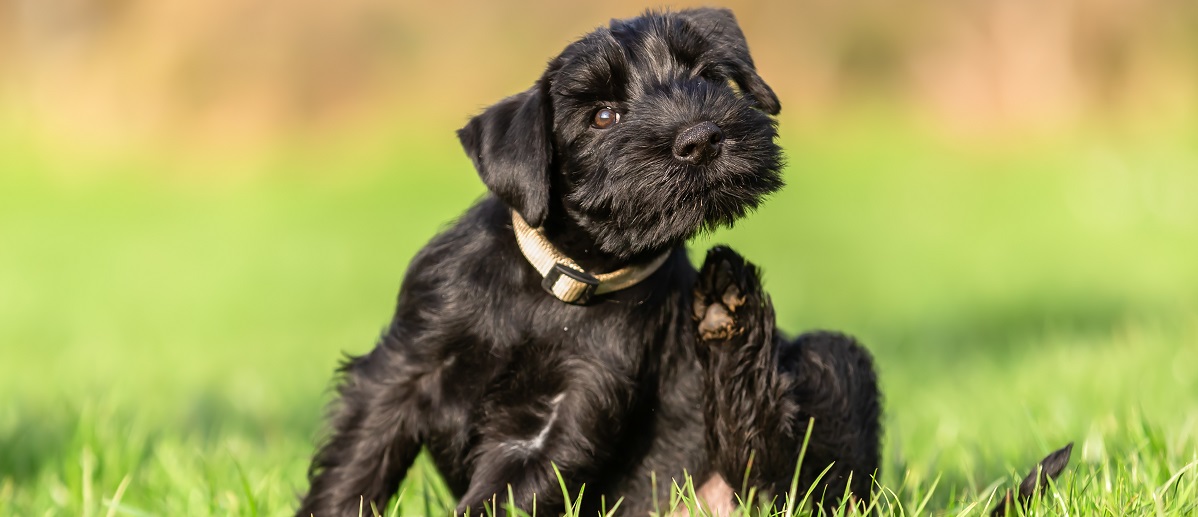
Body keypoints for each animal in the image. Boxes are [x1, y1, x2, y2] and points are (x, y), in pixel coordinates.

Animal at [299, 8, 881, 517]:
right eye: (603, 116)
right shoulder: (401, 371)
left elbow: (503, 496)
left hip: (834, 360)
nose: (701, 139)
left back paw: (731, 310)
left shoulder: (569, 409)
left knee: (785, 471)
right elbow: (357, 465)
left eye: (708, 77)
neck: (563, 280)